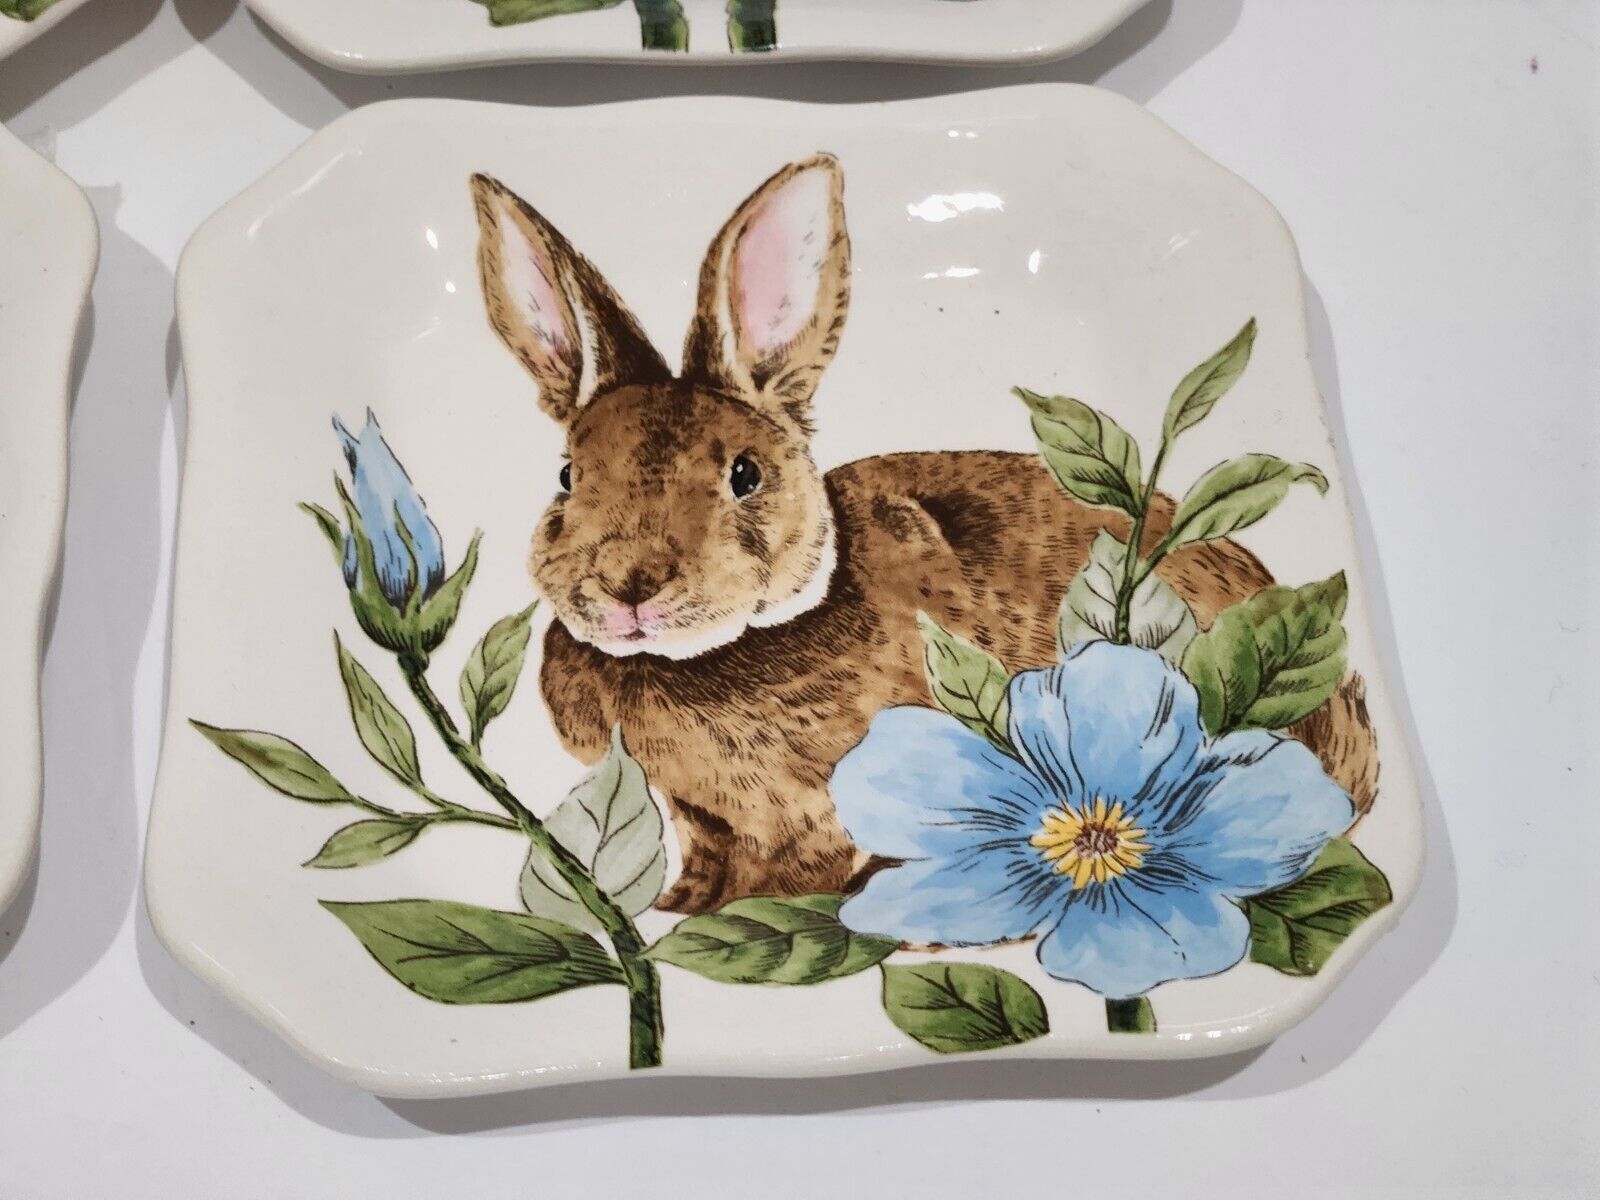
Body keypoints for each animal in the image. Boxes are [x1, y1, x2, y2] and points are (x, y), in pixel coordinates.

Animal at [470, 154, 1380, 916]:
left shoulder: (818, 805)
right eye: (567, 477)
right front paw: (673, 908)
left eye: (744, 475)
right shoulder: (700, 812)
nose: (627, 585)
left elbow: (799, 868)